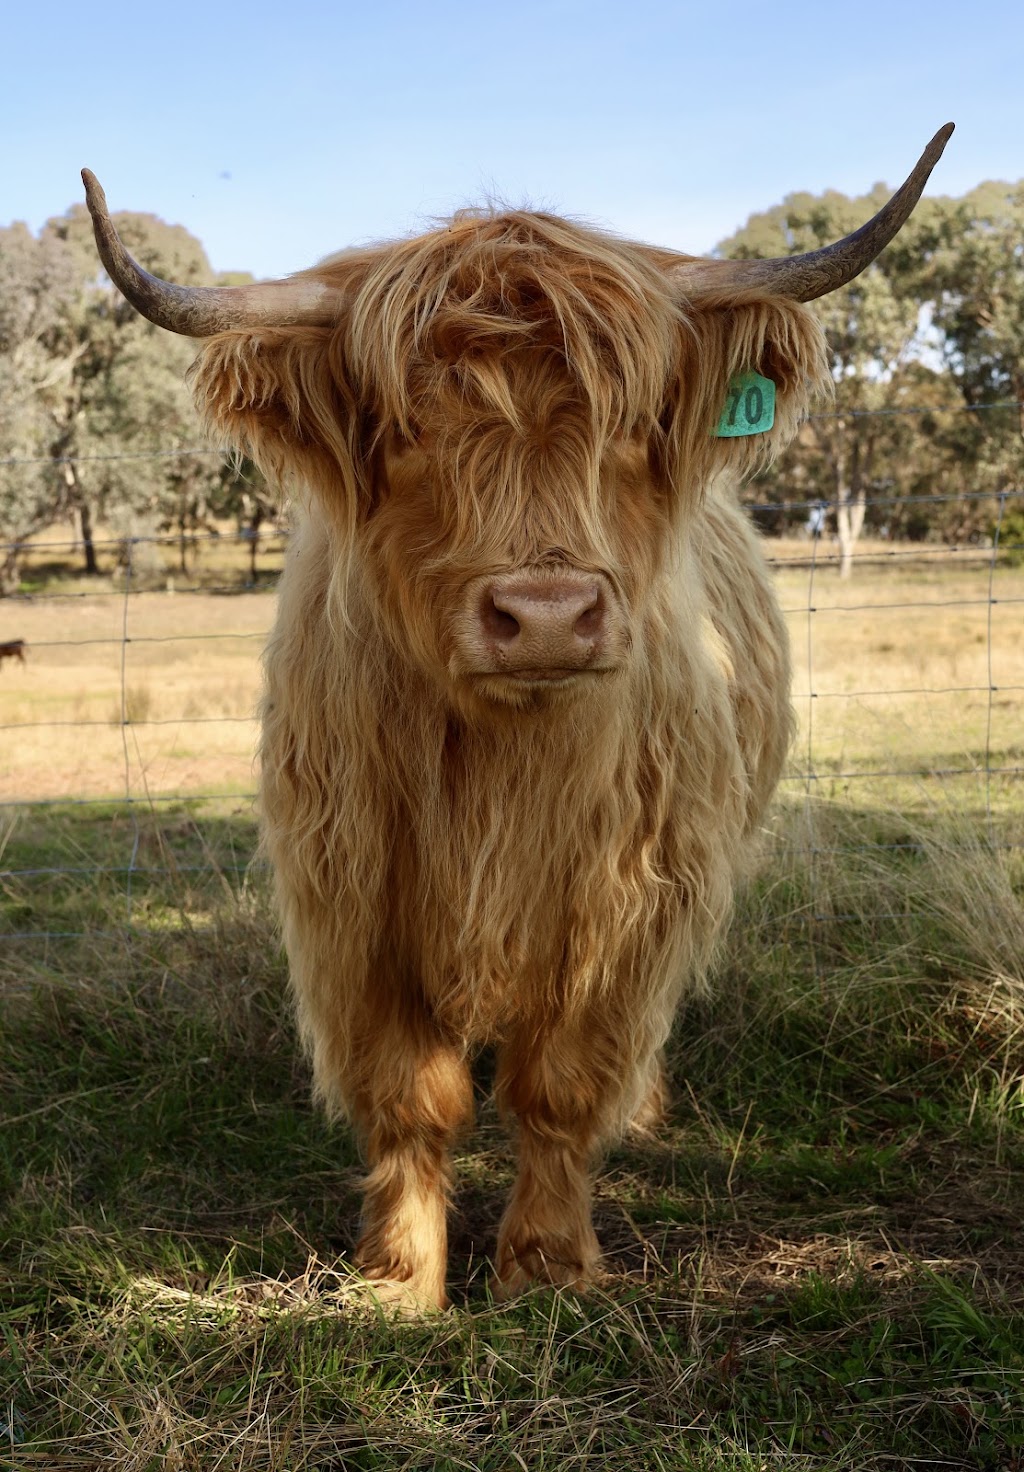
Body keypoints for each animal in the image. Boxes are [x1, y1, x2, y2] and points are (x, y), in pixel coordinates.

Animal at [83, 125, 952, 1311]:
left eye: (630, 423)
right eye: (406, 429)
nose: (545, 615)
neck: (498, 772)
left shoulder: (634, 898)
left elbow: (561, 1083)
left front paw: (545, 1263)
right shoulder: (351, 895)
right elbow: (410, 1092)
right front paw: (396, 1279)